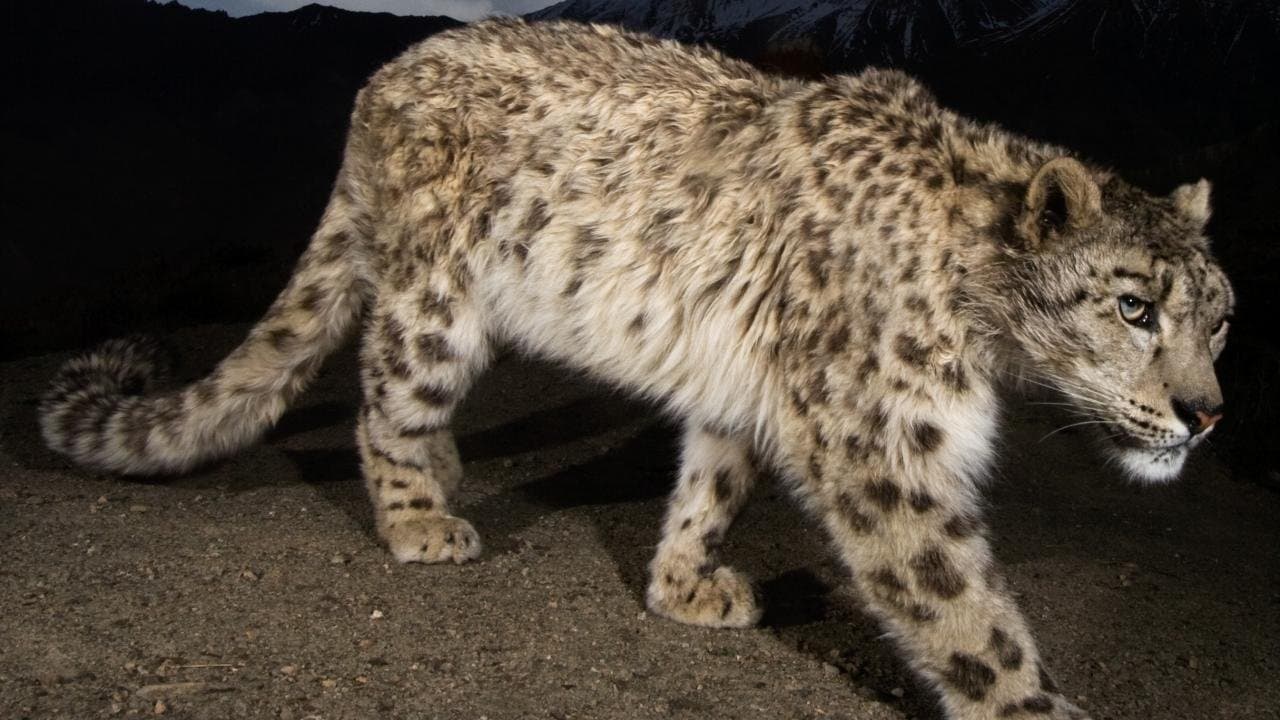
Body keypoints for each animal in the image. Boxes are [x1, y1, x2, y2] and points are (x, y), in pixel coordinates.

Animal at [39, 17, 1233, 720]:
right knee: (383, 397)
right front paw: (1035, 706)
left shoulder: (747, 390)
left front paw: (683, 583)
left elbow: (713, 480)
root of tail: (382, 76)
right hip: (437, 309)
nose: (1206, 415)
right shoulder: (882, 448)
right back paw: (421, 516)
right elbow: (964, 611)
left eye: (1220, 320)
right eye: (1133, 307)